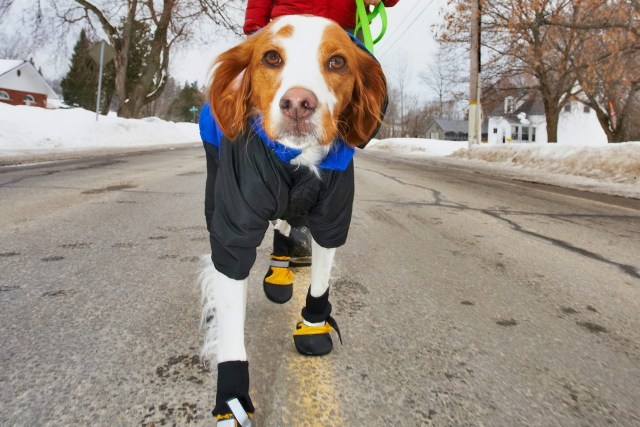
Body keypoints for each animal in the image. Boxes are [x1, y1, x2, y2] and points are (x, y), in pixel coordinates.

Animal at [200, 15, 388, 426]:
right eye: (271, 57)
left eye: (337, 62)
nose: (299, 104)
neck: (296, 162)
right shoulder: (236, 228)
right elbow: (230, 308)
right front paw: (232, 400)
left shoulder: (333, 216)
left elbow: (320, 282)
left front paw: (314, 325)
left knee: (285, 225)